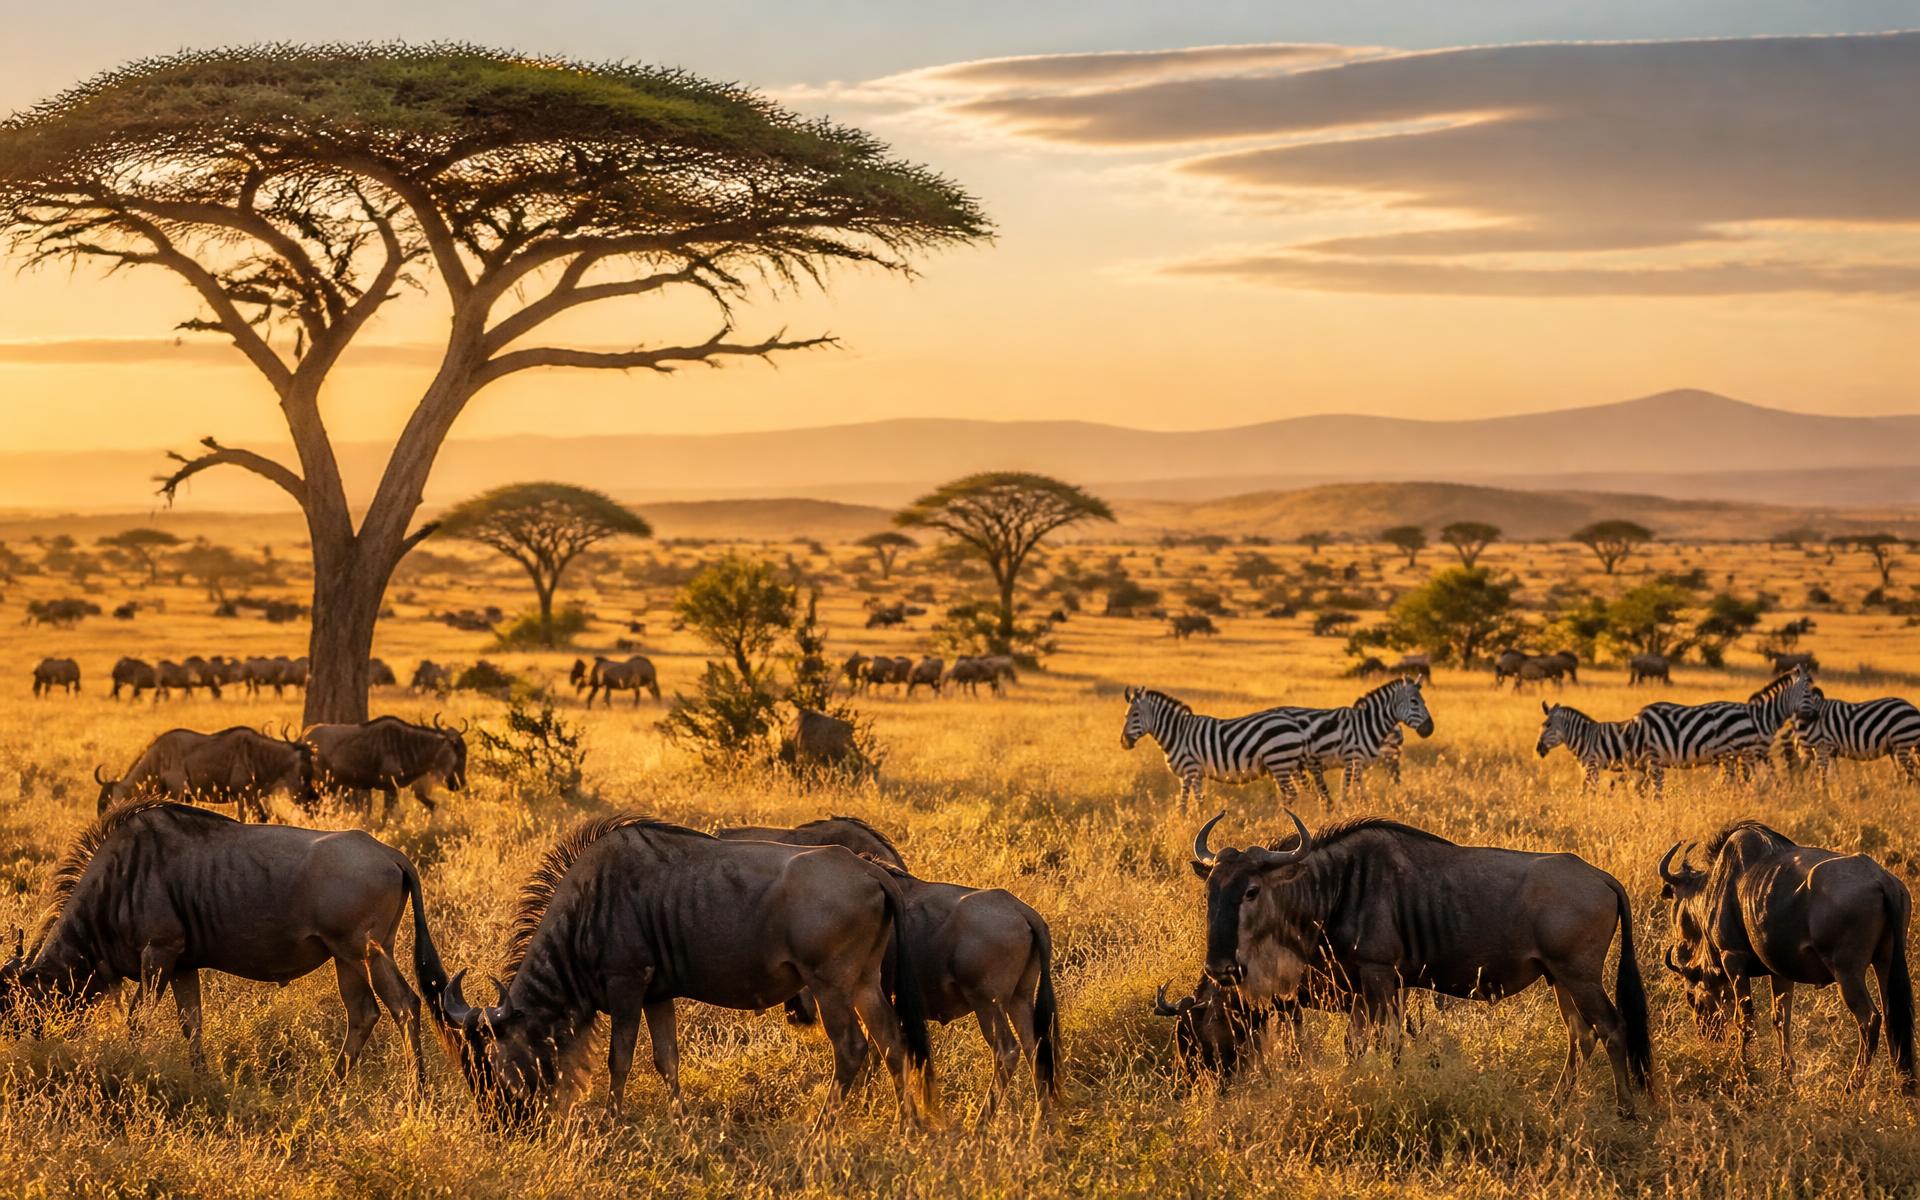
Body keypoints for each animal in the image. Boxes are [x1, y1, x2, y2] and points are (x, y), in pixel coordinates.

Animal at [1119, 686, 1318, 803]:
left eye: (1134, 715)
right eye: (1125, 716)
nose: (1123, 743)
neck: (1177, 733)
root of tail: (1294, 723)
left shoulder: (1188, 771)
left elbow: (1182, 804)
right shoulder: (1196, 774)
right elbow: (1199, 800)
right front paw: (1197, 822)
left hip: (1279, 762)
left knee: (1292, 794)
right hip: (1288, 765)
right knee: (1303, 792)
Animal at [1634, 667, 1813, 796]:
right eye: (1809, 693)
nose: (1815, 716)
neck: (1760, 717)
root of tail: (1640, 715)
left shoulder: (1753, 752)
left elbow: (1761, 776)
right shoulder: (1749, 752)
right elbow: (1749, 778)